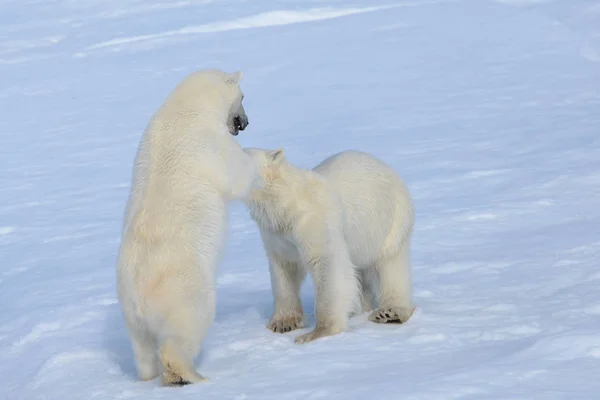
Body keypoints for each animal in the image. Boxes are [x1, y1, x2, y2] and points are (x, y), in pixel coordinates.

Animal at [115, 69, 260, 388]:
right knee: (187, 327)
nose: (245, 123)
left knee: (142, 347)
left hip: (129, 313)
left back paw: (149, 376)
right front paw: (258, 156)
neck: (183, 109)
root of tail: (138, 297)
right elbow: (237, 175)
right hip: (184, 288)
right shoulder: (208, 143)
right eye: (243, 96)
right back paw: (191, 375)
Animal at [241, 148, 414, 344]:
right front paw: (283, 323)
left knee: (391, 267)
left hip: (389, 223)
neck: (284, 205)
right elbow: (284, 270)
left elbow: (327, 264)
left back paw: (390, 312)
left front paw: (318, 332)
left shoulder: (313, 221)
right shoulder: (276, 234)